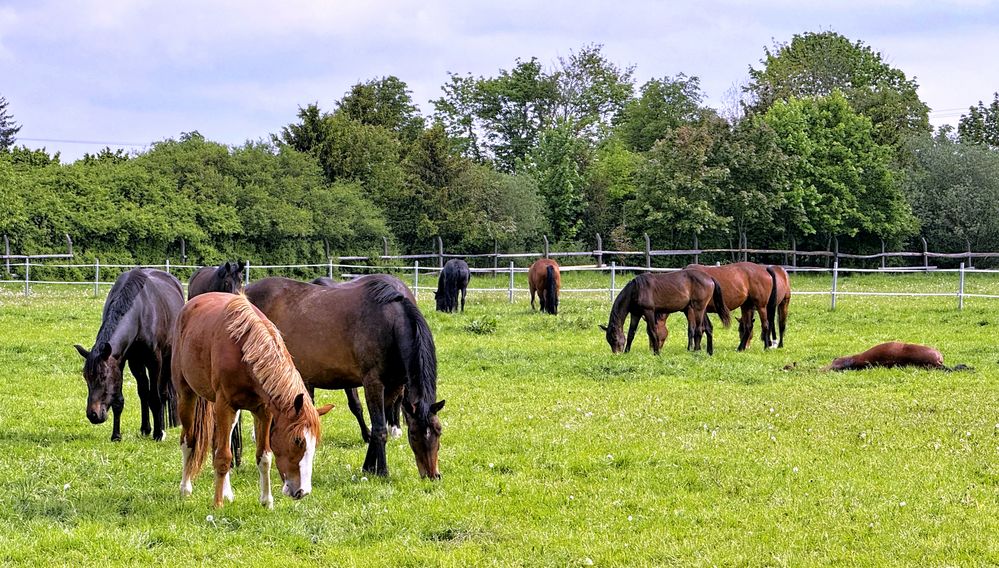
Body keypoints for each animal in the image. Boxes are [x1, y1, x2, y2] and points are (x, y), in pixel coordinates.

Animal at [74, 268, 186, 442]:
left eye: (103, 377)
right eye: (86, 378)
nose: (93, 415)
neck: (140, 313)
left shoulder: (154, 361)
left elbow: (155, 397)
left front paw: (158, 433)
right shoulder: (123, 360)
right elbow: (121, 400)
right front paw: (116, 435)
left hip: (168, 359)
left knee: (162, 393)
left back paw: (161, 429)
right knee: (144, 392)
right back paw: (145, 428)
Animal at [169, 292, 332, 506]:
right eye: (298, 441)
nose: (302, 491)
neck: (245, 350)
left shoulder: (263, 411)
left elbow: (264, 457)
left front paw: (266, 501)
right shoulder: (225, 406)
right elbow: (223, 457)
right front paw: (217, 504)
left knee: (218, 442)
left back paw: (227, 492)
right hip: (187, 396)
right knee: (188, 440)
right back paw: (185, 488)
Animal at [246, 276, 446, 480]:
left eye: (439, 431)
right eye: (413, 434)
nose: (432, 475)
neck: (389, 323)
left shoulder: (394, 386)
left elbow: (379, 425)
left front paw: (368, 467)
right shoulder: (373, 383)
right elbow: (380, 428)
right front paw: (382, 470)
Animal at [596, 270, 732, 356]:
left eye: (614, 338)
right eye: (609, 340)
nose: (617, 353)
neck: (636, 289)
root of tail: (709, 278)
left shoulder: (649, 312)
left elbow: (653, 331)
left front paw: (656, 353)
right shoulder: (636, 314)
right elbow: (631, 334)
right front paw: (627, 352)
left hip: (698, 308)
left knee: (699, 329)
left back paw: (696, 351)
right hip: (701, 309)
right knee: (708, 327)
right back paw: (709, 352)